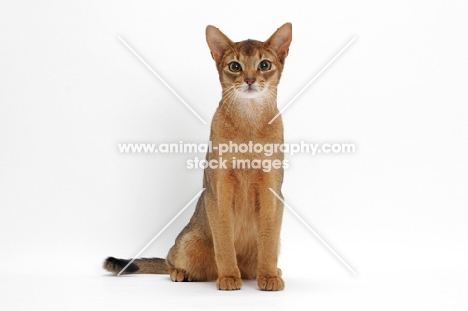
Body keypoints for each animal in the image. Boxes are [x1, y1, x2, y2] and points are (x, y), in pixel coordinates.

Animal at [104, 22, 290, 292]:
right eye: (235, 66)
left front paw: (269, 276)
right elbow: (224, 242)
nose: (249, 80)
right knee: (170, 259)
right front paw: (228, 277)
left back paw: (269, 271)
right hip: (188, 242)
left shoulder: (272, 190)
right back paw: (183, 273)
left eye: (264, 64)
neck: (249, 124)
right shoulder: (218, 189)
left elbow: (269, 241)